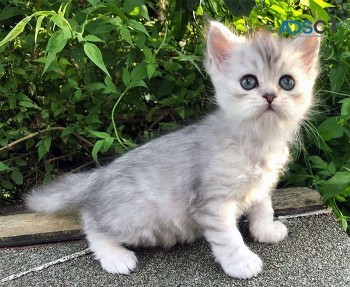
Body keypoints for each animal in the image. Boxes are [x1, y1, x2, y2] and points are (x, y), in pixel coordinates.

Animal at [26, 21, 322, 280]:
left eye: (287, 82)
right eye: (248, 82)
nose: (270, 95)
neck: (257, 141)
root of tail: (98, 176)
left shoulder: (261, 186)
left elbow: (263, 207)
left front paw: (266, 231)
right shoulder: (212, 203)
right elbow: (229, 238)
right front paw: (241, 263)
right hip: (141, 220)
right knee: (91, 223)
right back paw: (116, 257)